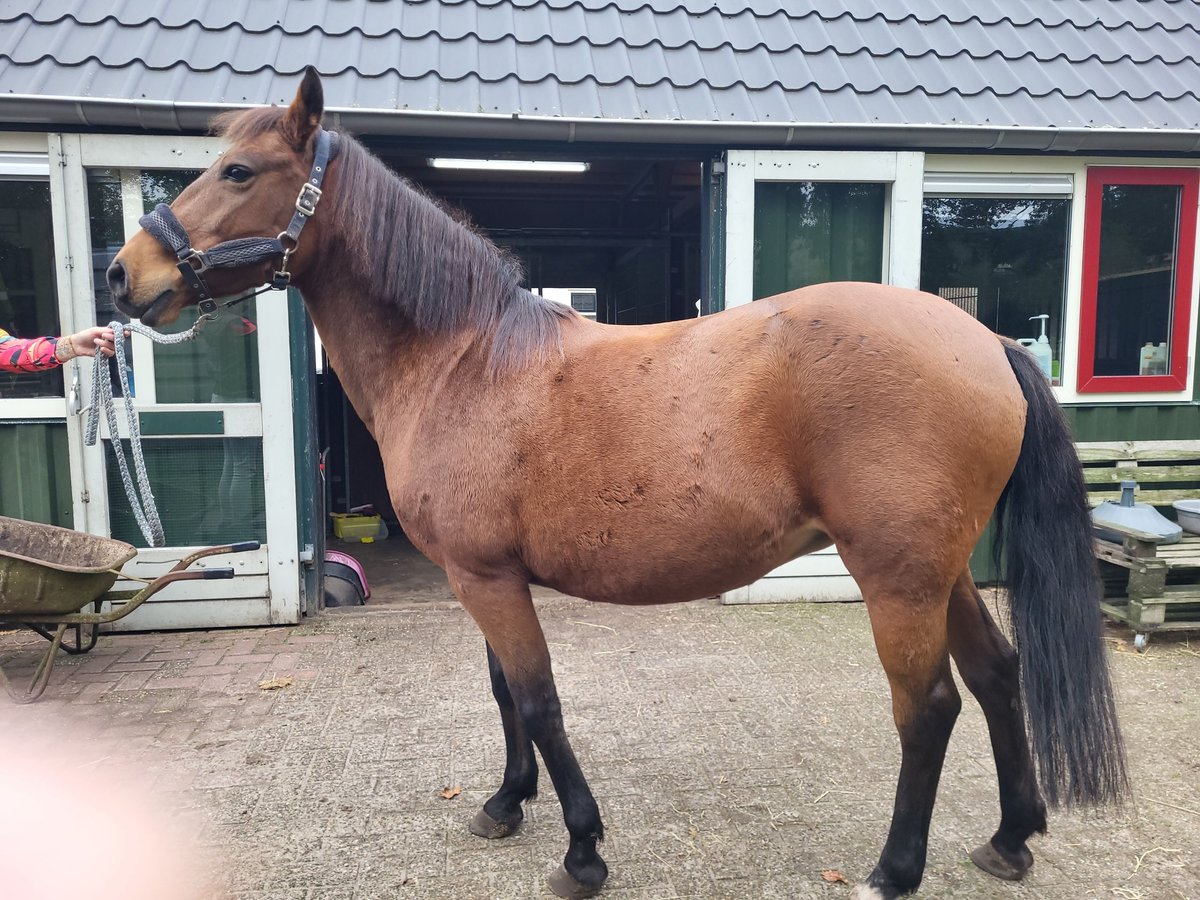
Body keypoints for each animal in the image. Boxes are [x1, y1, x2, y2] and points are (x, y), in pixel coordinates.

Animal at [108, 72, 1128, 900]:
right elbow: (503, 695)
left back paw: (894, 870)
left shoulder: (486, 579)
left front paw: (582, 851)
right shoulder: (483, 578)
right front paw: (504, 804)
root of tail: (983, 342)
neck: (462, 361)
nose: (124, 274)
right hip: (937, 569)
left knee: (930, 708)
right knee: (998, 675)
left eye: (239, 172)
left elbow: (539, 701)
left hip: (898, 576)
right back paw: (1010, 839)